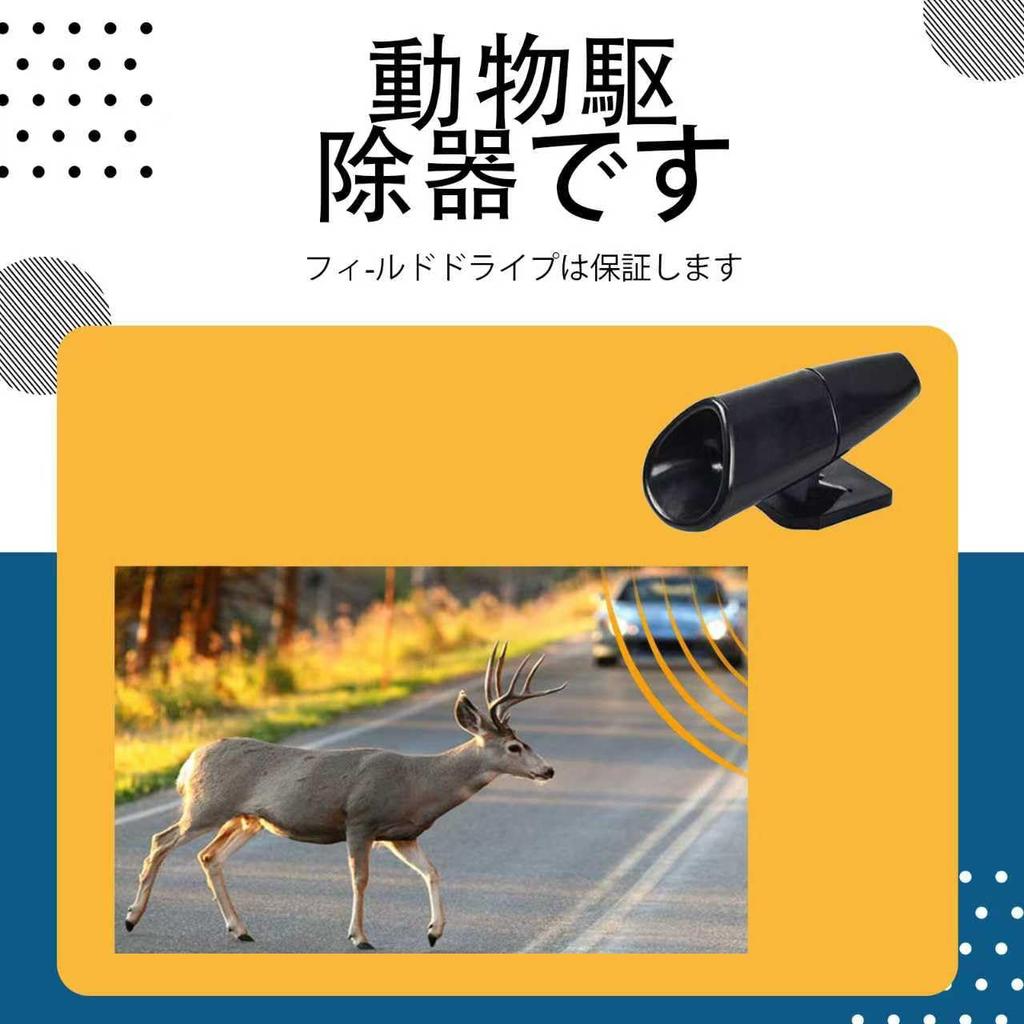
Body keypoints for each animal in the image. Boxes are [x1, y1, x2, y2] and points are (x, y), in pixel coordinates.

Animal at [124, 642, 566, 950]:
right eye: (514, 747)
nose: (548, 770)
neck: (419, 783)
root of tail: (188, 763)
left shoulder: (403, 834)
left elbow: (432, 872)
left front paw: (434, 932)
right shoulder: (361, 819)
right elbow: (360, 879)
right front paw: (360, 936)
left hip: (247, 818)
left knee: (209, 856)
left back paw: (240, 929)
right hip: (206, 805)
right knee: (160, 841)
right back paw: (132, 918)